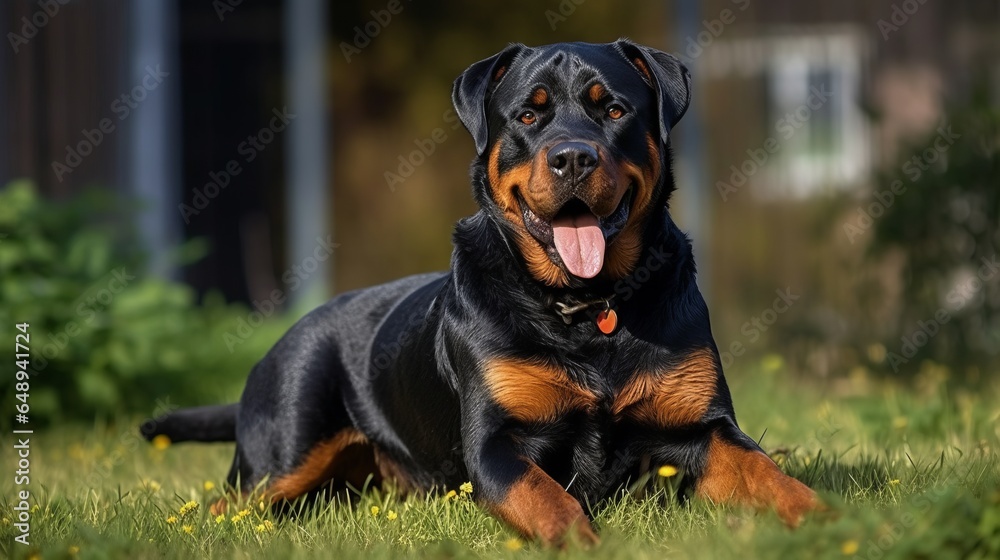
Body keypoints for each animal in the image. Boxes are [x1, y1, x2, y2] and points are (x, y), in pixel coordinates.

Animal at [145, 40, 816, 548]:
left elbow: (770, 474)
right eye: (528, 116)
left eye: (613, 110)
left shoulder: (703, 429)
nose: (573, 157)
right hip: (284, 448)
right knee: (226, 502)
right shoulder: (496, 444)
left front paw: (828, 520)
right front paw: (585, 544)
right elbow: (547, 499)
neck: (588, 308)